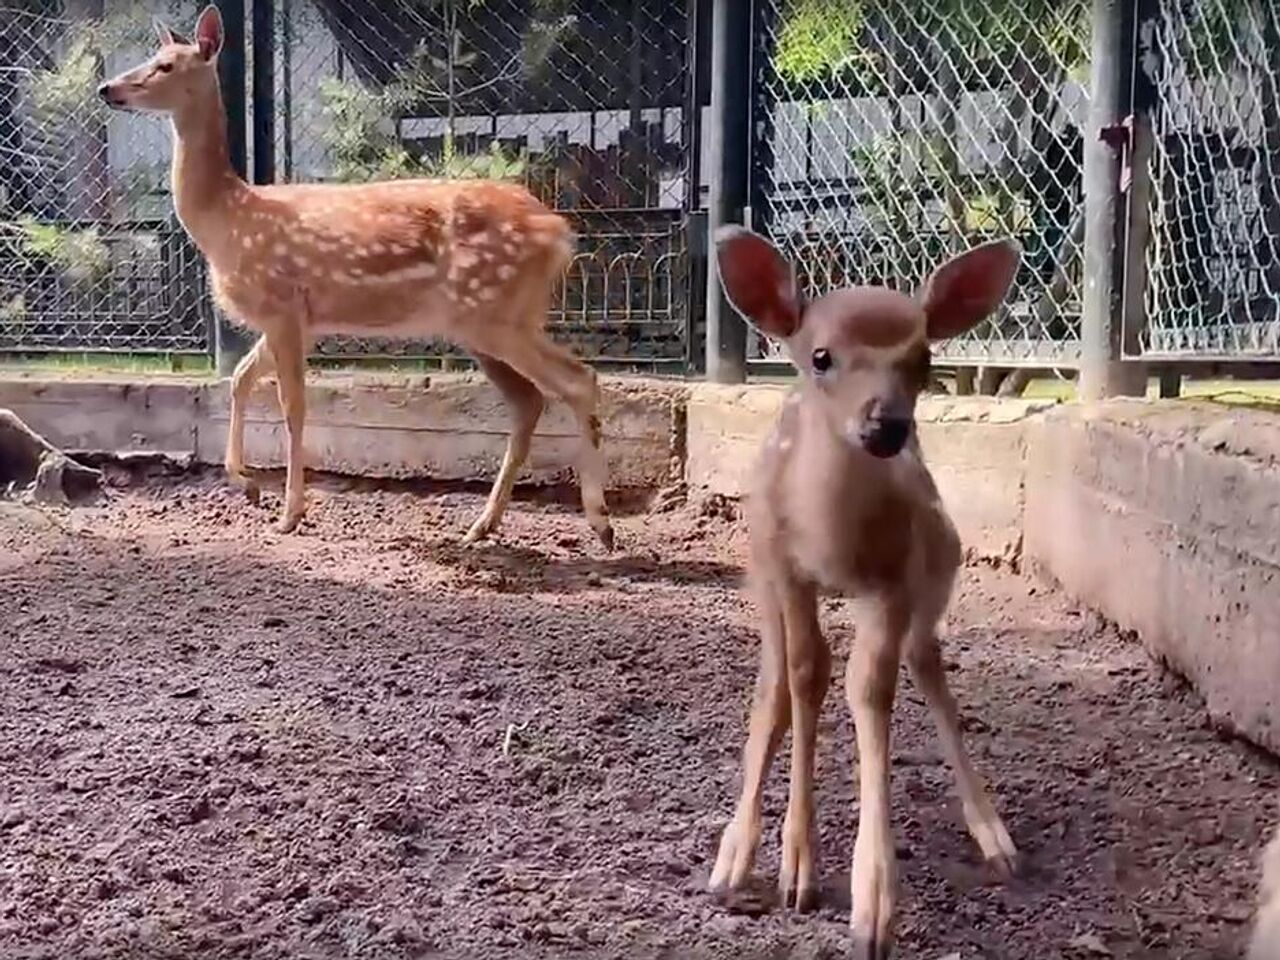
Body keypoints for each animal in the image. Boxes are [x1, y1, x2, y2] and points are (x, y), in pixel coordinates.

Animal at [96, 5, 614, 547]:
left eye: (166, 66)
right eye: (150, 56)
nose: (107, 88)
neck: (229, 220)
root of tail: (559, 232)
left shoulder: (282, 304)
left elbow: (293, 405)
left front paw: (290, 512)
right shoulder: (298, 317)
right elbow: (238, 380)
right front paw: (247, 484)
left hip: (497, 312)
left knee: (577, 379)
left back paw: (600, 522)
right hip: (486, 322)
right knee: (528, 401)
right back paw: (482, 524)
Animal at [711, 224, 1018, 957]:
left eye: (924, 357)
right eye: (821, 356)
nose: (886, 425)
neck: (835, 544)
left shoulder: (896, 579)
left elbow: (869, 688)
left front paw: (874, 903)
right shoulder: (786, 569)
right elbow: (805, 676)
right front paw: (798, 870)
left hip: (939, 563)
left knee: (926, 664)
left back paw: (994, 835)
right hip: (759, 569)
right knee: (774, 679)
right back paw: (733, 856)